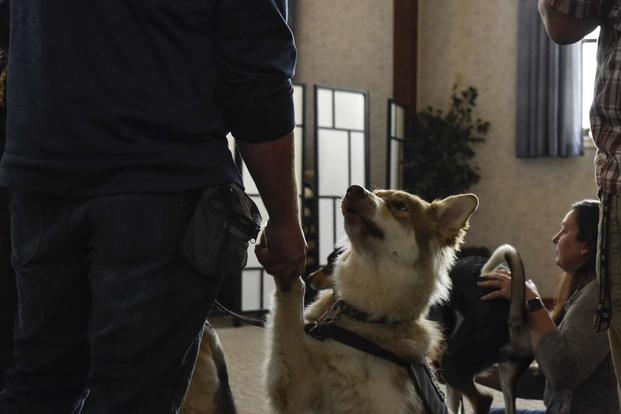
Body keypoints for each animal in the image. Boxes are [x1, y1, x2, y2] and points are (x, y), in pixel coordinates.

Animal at [264, 186, 478, 414]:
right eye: (376, 192)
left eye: (399, 205)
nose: (354, 190)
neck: (363, 316)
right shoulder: (296, 390)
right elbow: (291, 304)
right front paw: (281, 250)